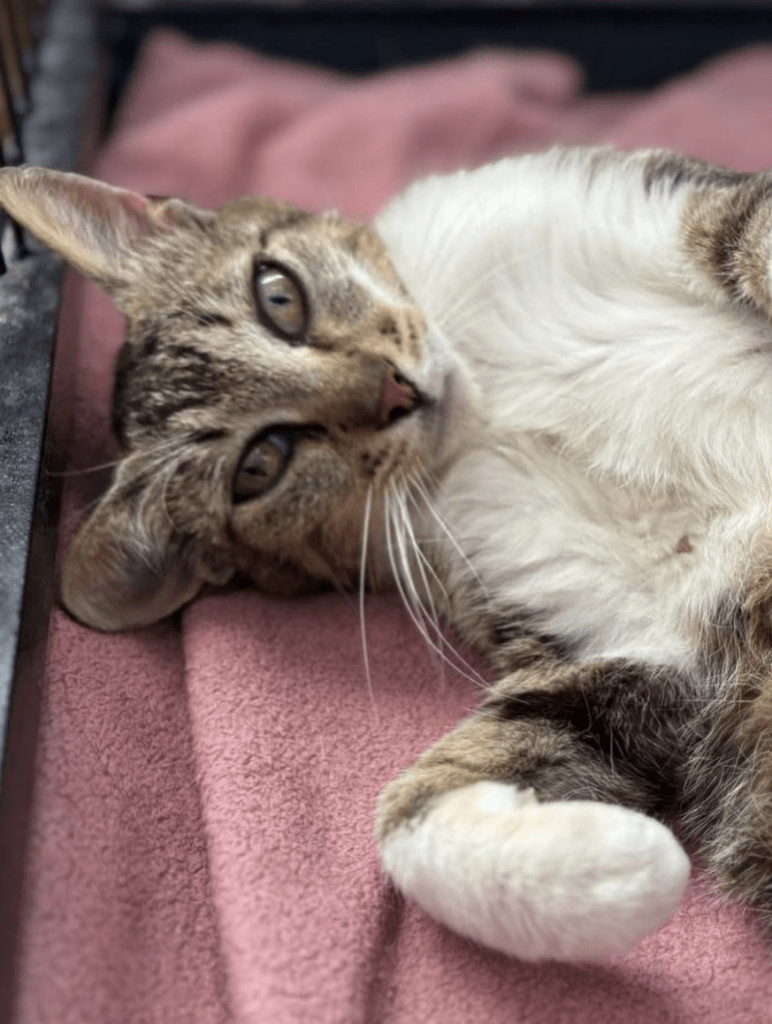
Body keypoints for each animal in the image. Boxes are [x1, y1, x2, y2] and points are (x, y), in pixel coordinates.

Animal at [4, 148, 769, 962]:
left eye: (278, 294)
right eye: (262, 463)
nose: (393, 391)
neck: (492, 401)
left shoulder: (657, 207)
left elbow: (756, 239)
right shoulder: (633, 645)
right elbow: (417, 813)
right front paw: (623, 868)